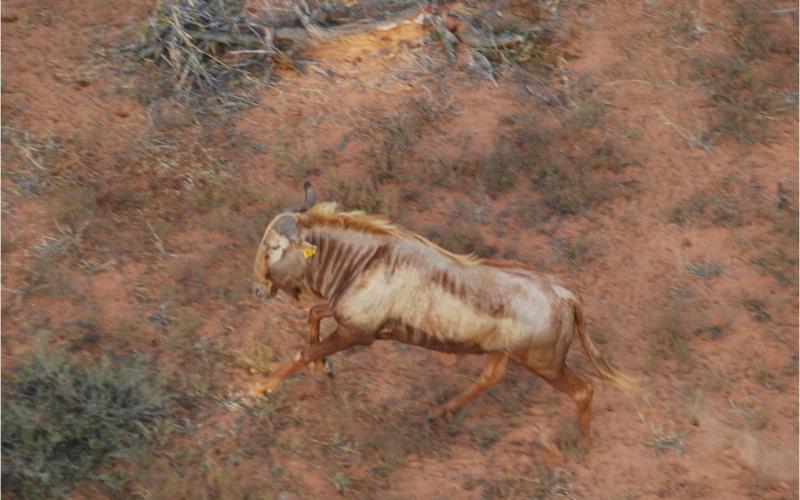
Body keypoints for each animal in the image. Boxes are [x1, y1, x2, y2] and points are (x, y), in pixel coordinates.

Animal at [251, 183, 635, 440]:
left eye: (273, 247)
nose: (257, 288)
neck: (367, 261)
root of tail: (562, 293)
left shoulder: (358, 334)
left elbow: (304, 350)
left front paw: (260, 389)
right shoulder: (345, 318)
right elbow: (314, 316)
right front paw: (323, 366)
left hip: (545, 364)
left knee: (583, 391)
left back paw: (580, 446)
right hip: (504, 353)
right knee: (490, 377)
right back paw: (437, 413)